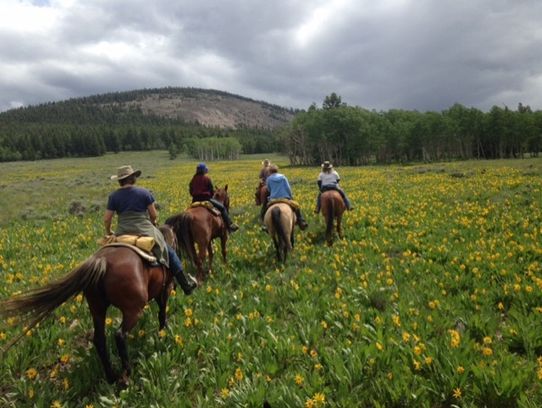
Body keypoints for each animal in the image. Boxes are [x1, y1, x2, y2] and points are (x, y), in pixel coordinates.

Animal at [0, 225, 176, 388]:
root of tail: (102, 262)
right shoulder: (165, 289)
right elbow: (162, 312)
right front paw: (164, 332)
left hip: (96, 308)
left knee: (99, 339)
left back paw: (111, 377)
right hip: (133, 310)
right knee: (120, 335)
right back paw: (126, 374)